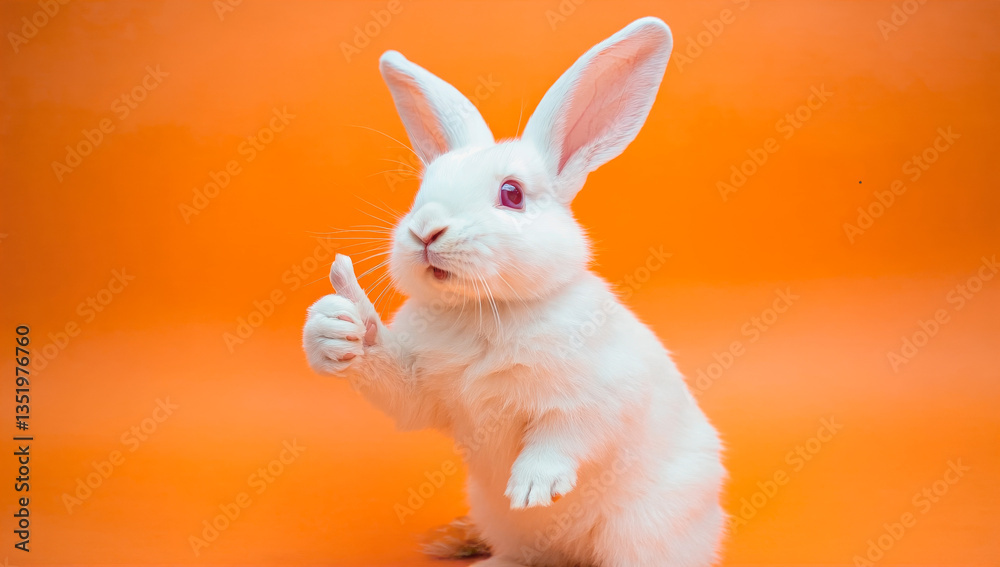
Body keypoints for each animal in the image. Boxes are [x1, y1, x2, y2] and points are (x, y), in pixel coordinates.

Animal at [303, 16, 727, 567]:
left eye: (512, 194)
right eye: (423, 191)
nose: (425, 231)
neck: (485, 311)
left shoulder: (599, 396)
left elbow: (565, 434)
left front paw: (532, 487)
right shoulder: (422, 388)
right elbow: (395, 385)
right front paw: (335, 328)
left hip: (645, 528)